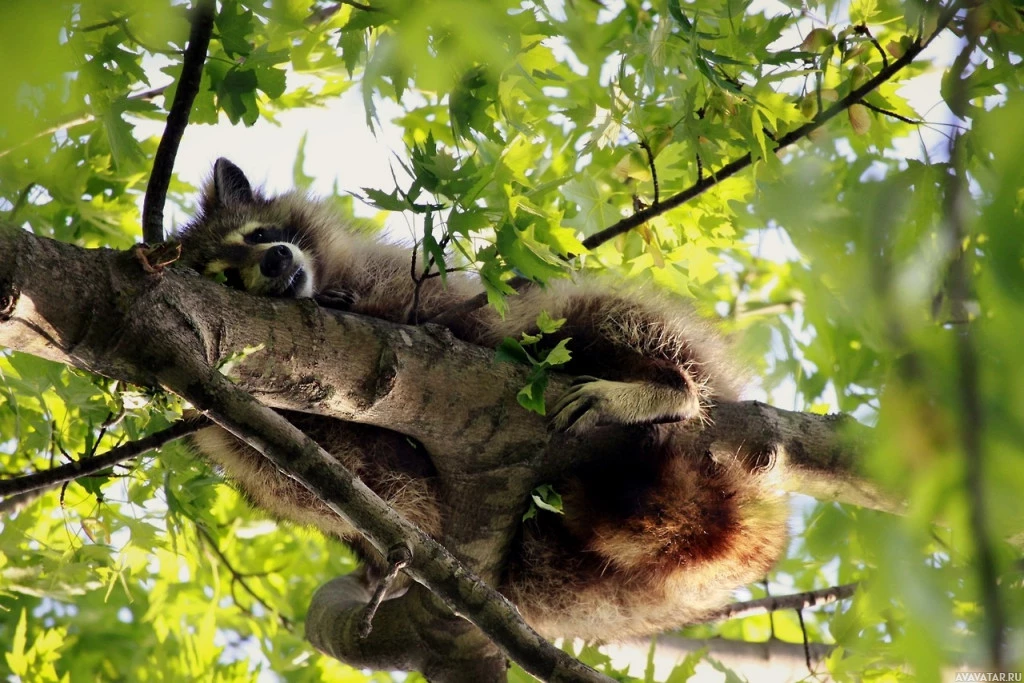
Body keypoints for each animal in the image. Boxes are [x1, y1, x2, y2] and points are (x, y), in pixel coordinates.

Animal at [176, 158, 786, 643]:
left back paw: (667, 385)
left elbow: (457, 314)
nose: (277, 259)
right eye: (227, 274)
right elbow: (339, 481)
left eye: (259, 233)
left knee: (594, 312)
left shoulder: (413, 285)